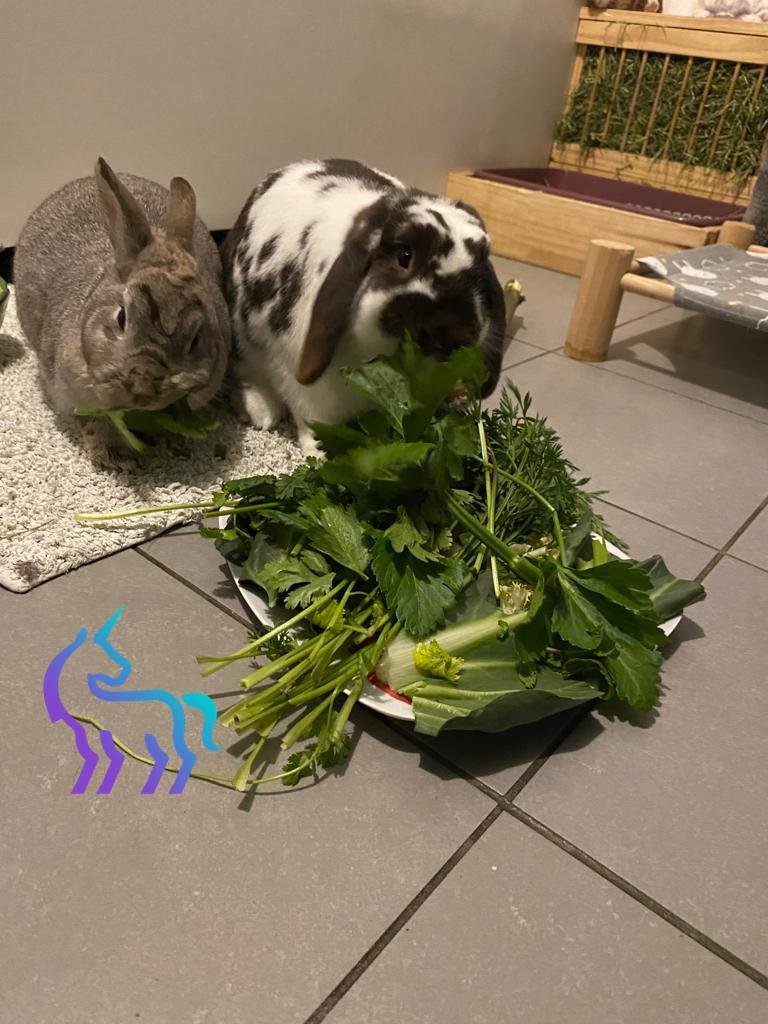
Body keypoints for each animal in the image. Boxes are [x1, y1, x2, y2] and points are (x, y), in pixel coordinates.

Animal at [14, 158, 231, 466]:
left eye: (196, 340)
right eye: (121, 318)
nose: (143, 388)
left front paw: (177, 446)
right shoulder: (73, 394)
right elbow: (95, 422)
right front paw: (115, 458)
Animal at [220, 158, 506, 457]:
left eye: (479, 276)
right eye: (404, 255)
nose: (447, 333)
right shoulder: (308, 388)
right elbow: (312, 422)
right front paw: (320, 454)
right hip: (244, 343)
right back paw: (262, 412)